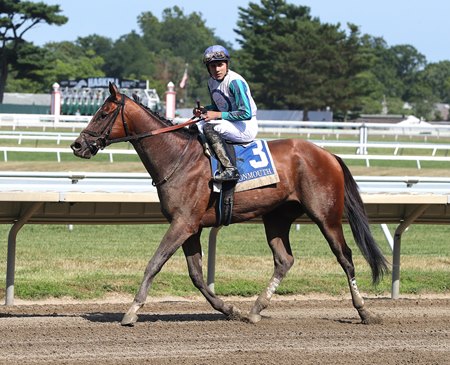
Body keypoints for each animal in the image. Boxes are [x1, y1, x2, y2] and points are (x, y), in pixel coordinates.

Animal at [72, 82, 388, 324]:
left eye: (103, 113)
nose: (78, 145)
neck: (177, 158)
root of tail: (329, 154)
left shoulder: (183, 223)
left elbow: (154, 263)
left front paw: (132, 311)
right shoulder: (191, 226)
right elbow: (197, 275)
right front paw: (229, 308)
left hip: (326, 215)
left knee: (345, 257)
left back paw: (364, 311)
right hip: (277, 217)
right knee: (284, 260)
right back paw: (255, 309)